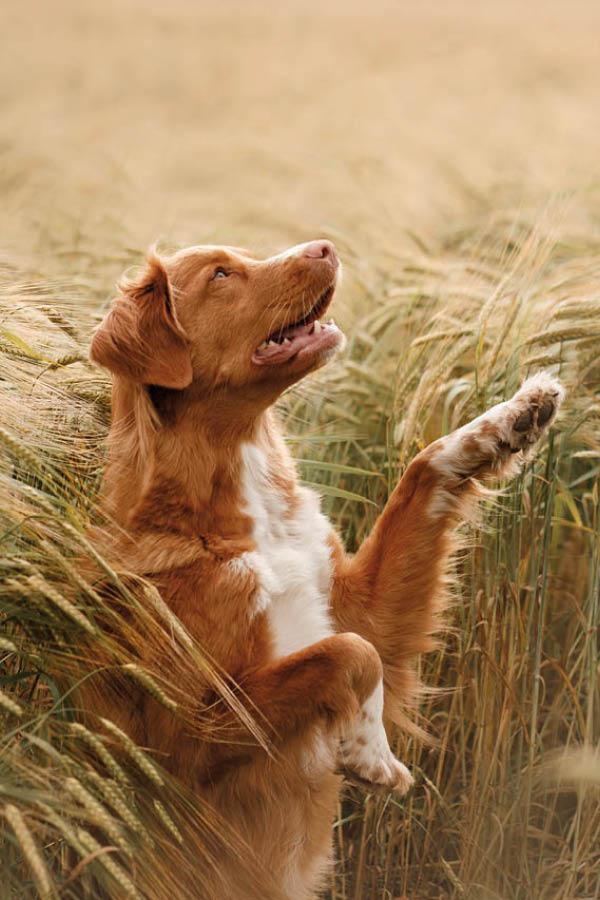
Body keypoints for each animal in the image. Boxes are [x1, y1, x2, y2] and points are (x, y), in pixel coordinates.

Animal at [88, 241, 564, 900]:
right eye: (221, 274)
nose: (325, 247)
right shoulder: (183, 737)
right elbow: (350, 654)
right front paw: (370, 754)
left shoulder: (364, 607)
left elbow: (422, 473)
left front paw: (511, 417)